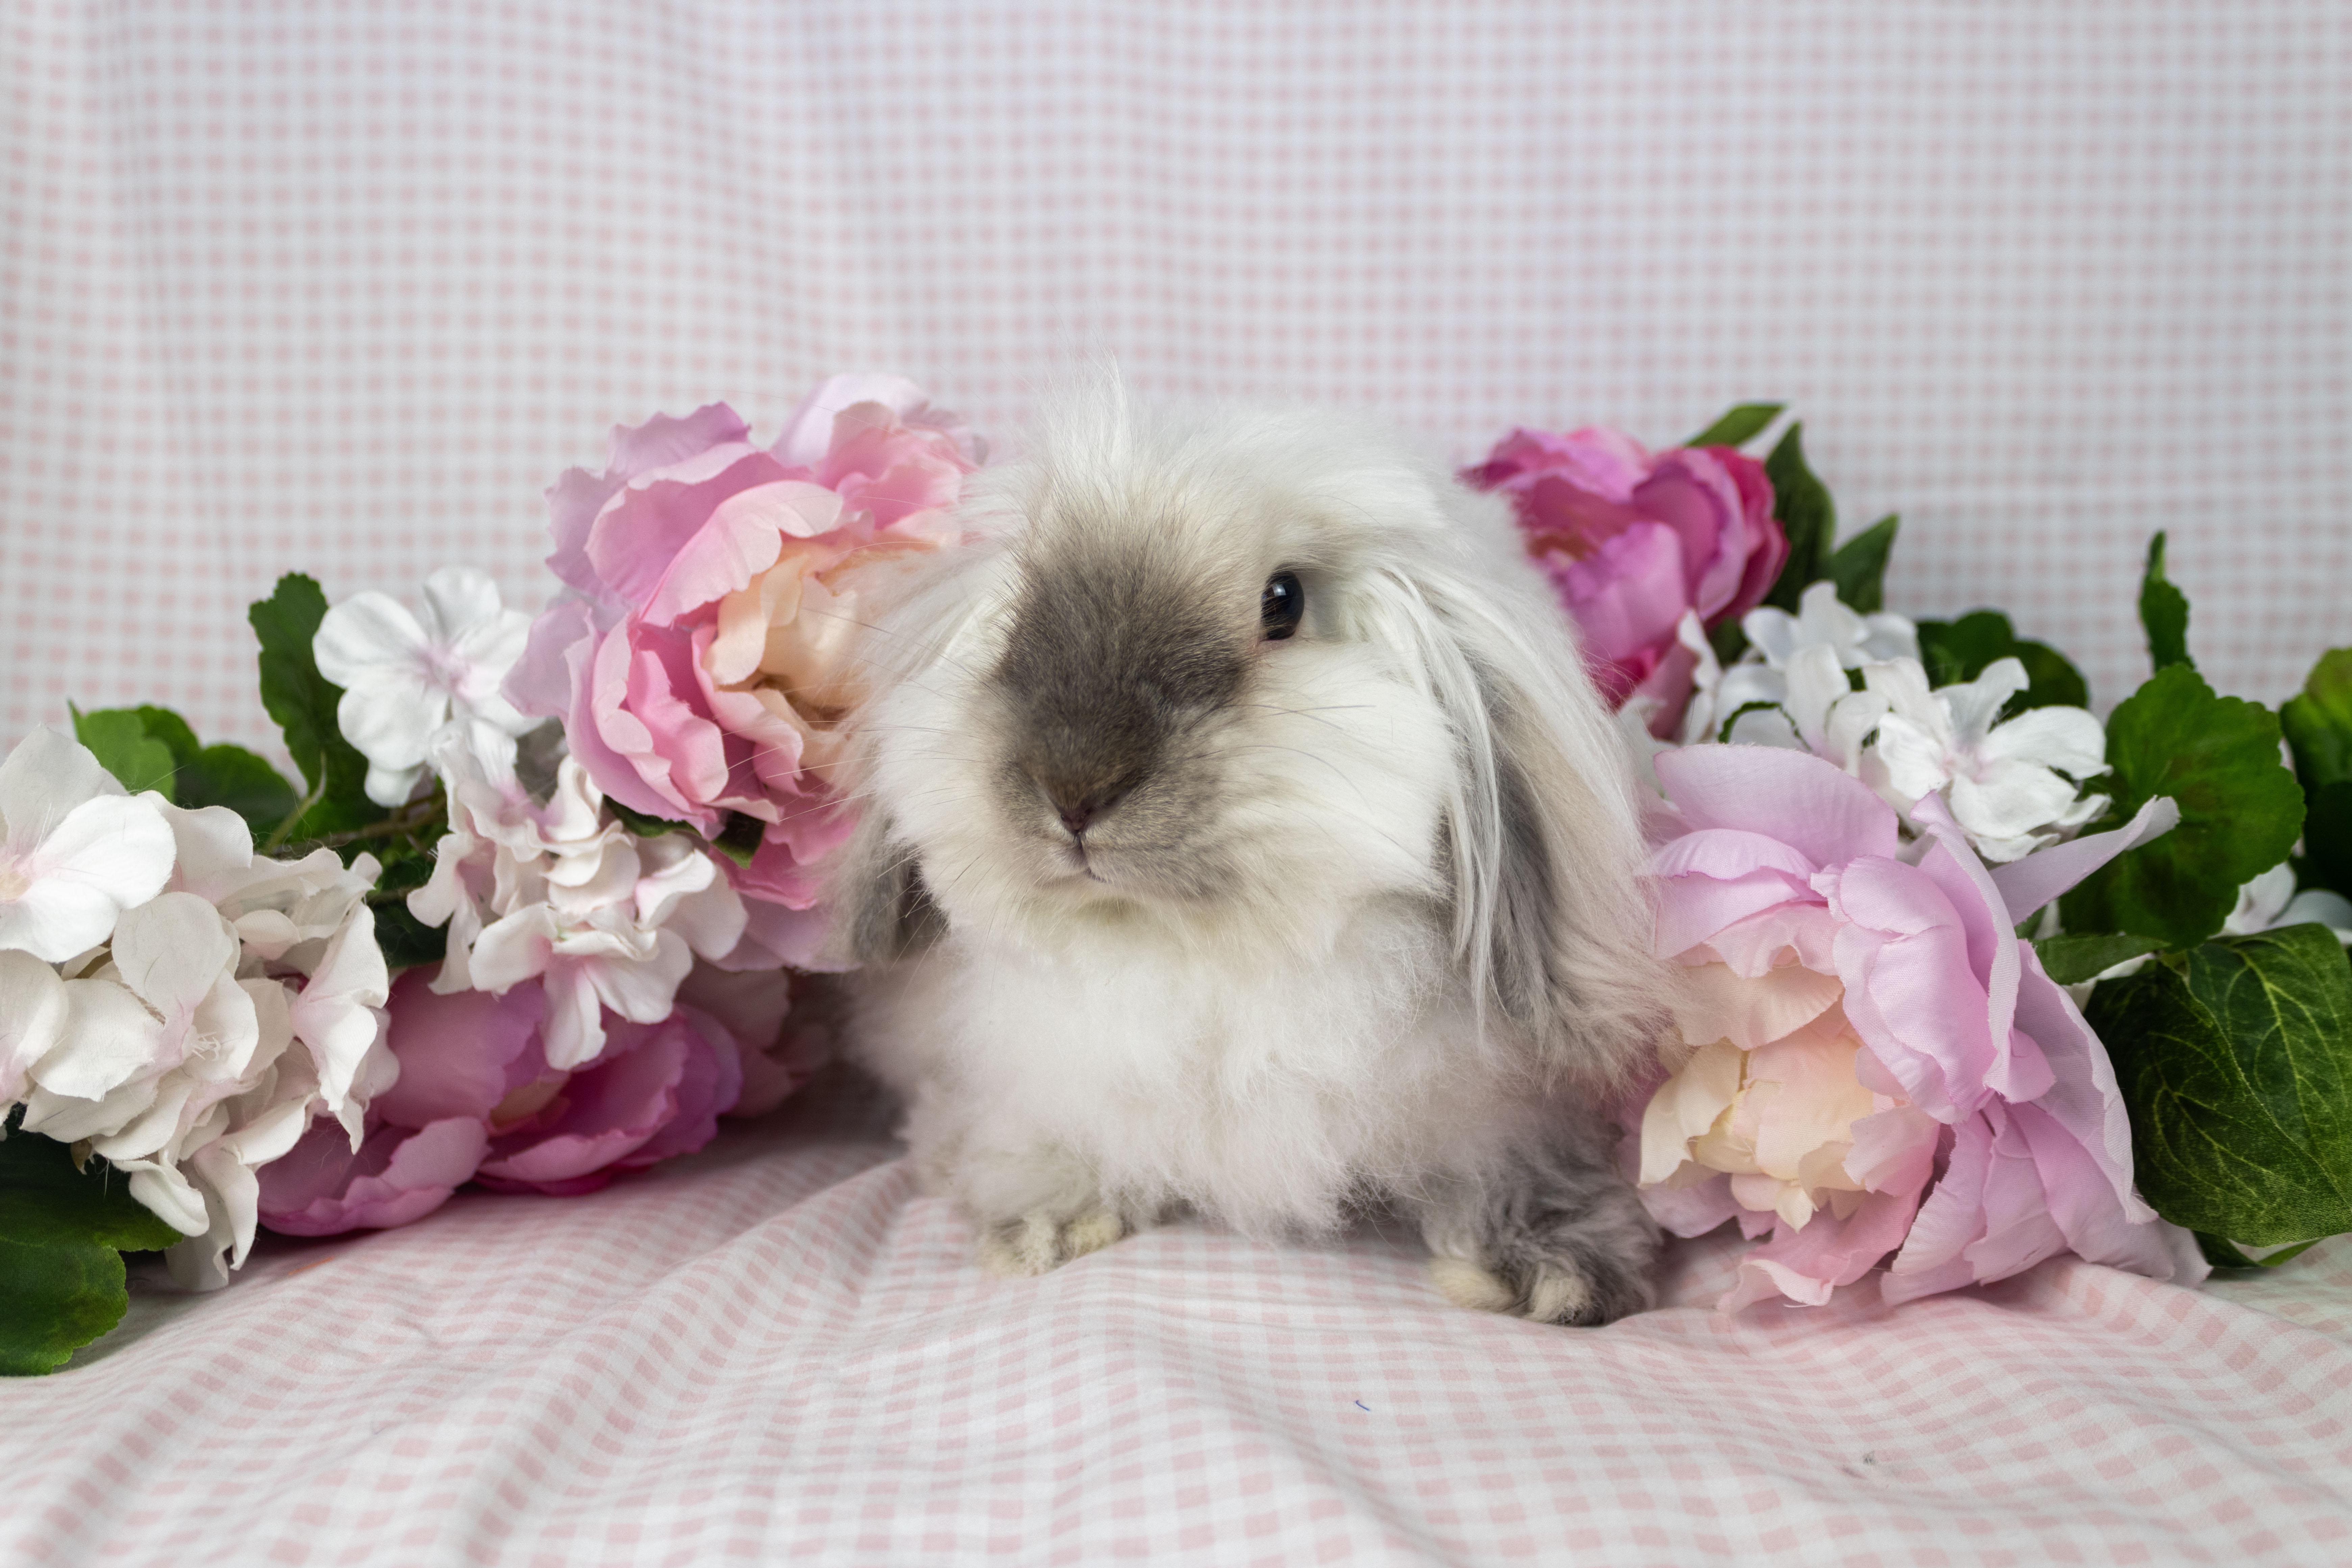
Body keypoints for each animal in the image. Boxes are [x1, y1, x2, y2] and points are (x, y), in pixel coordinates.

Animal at [826, 379, 1671, 1325]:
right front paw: (1042, 1220)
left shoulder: (1508, 1102)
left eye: (1283, 601)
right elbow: (1035, 1138)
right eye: (1019, 605)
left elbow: (1514, 1162)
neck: (1198, 953)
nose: (1074, 788)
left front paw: (1555, 1276)